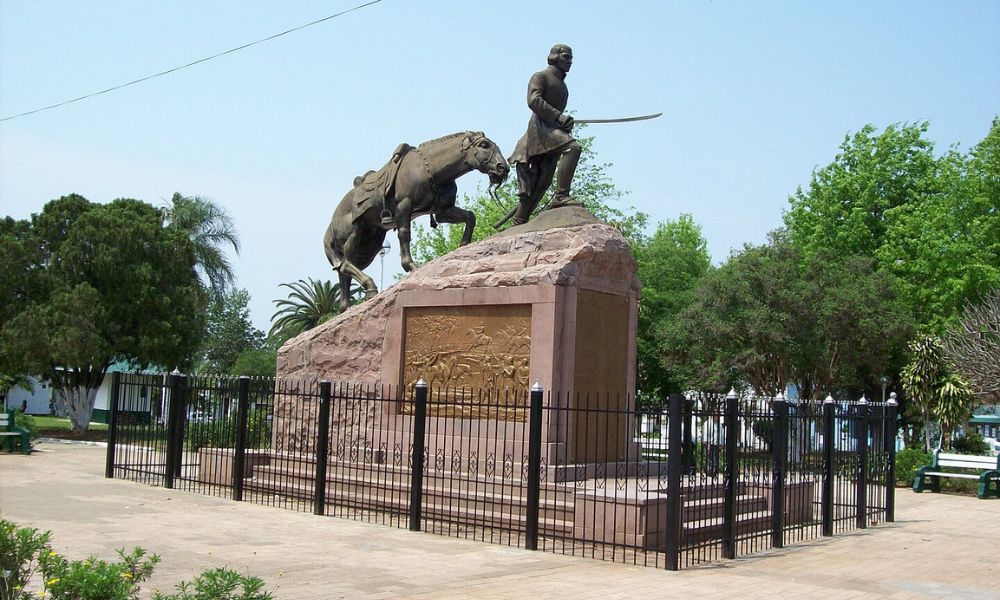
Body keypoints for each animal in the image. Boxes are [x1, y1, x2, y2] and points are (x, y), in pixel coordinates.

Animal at [324, 131, 508, 310]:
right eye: (484, 145)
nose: (503, 168)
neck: (431, 169)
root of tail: (332, 221)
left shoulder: (443, 211)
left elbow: (470, 216)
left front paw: (463, 244)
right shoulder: (404, 207)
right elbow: (405, 234)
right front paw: (410, 266)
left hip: (370, 244)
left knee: (344, 270)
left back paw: (346, 306)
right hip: (354, 233)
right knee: (345, 264)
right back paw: (370, 287)